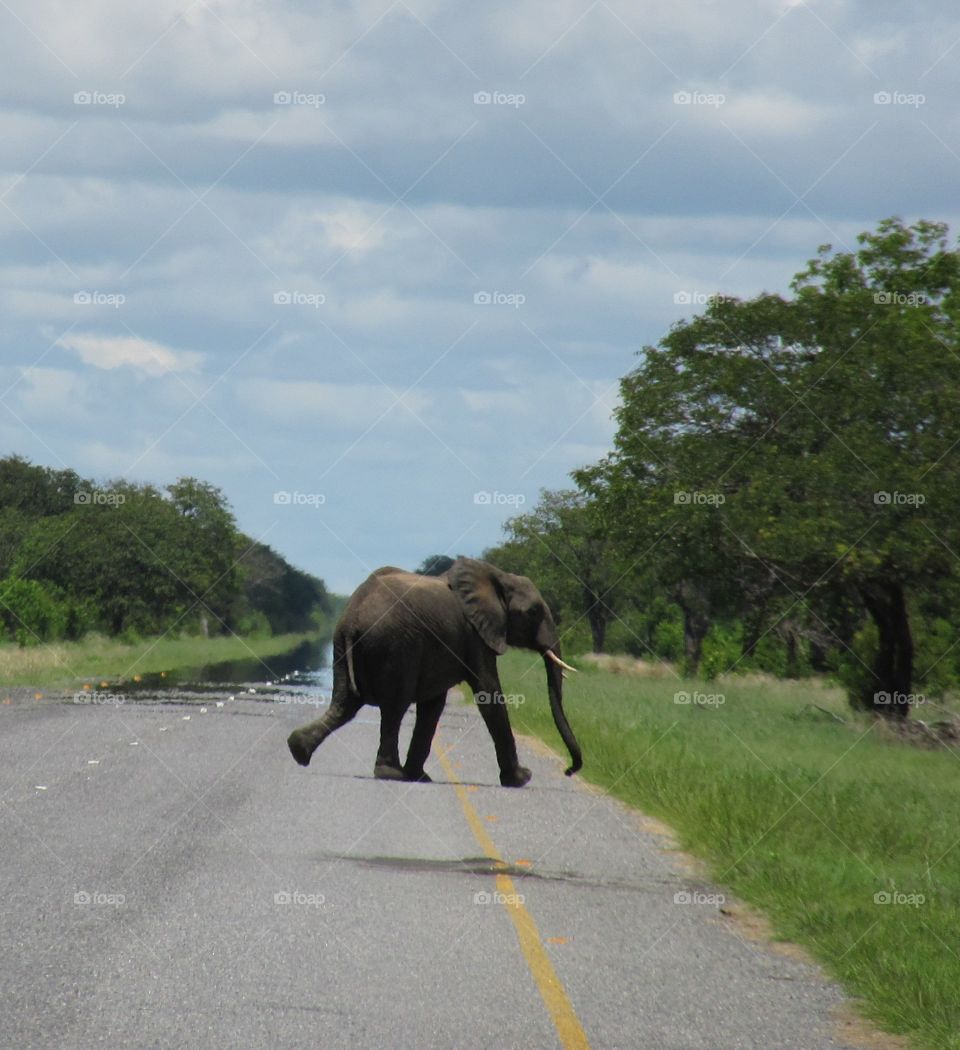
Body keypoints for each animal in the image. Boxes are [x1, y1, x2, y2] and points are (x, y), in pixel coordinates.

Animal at [286, 557, 581, 787]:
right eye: (533, 612)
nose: (568, 771)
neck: (495, 576)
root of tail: (352, 618)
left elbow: (433, 705)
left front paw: (420, 776)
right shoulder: (475, 635)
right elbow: (488, 694)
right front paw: (521, 779)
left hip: (344, 647)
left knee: (345, 703)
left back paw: (298, 749)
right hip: (395, 647)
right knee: (394, 707)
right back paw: (390, 773)